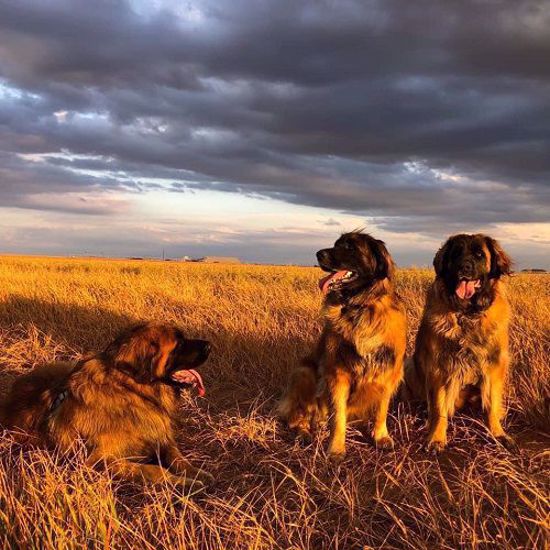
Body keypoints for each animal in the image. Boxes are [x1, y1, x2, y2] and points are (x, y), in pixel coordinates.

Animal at [0, 322, 216, 490]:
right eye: (179, 344)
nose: (209, 345)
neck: (132, 391)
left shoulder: (159, 438)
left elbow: (178, 457)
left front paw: (196, 473)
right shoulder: (97, 461)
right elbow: (154, 469)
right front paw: (183, 482)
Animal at [278, 233, 408, 462]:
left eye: (350, 247)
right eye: (337, 244)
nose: (318, 254)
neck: (361, 307)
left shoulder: (388, 372)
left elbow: (381, 410)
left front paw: (380, 436)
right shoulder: (338, 374)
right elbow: (338, 416)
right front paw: (337, 448)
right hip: (304, 372)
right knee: (297, 417)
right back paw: (304, 432)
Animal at [404, 233, 516, 452]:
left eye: (479, 254)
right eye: (455, 254)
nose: (464, 267)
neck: (467, 314)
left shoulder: (494, 366)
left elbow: (492, 404)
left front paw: (498, 433)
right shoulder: (439, 368)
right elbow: (439, 407)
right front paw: (436, 438)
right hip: (411, 365)